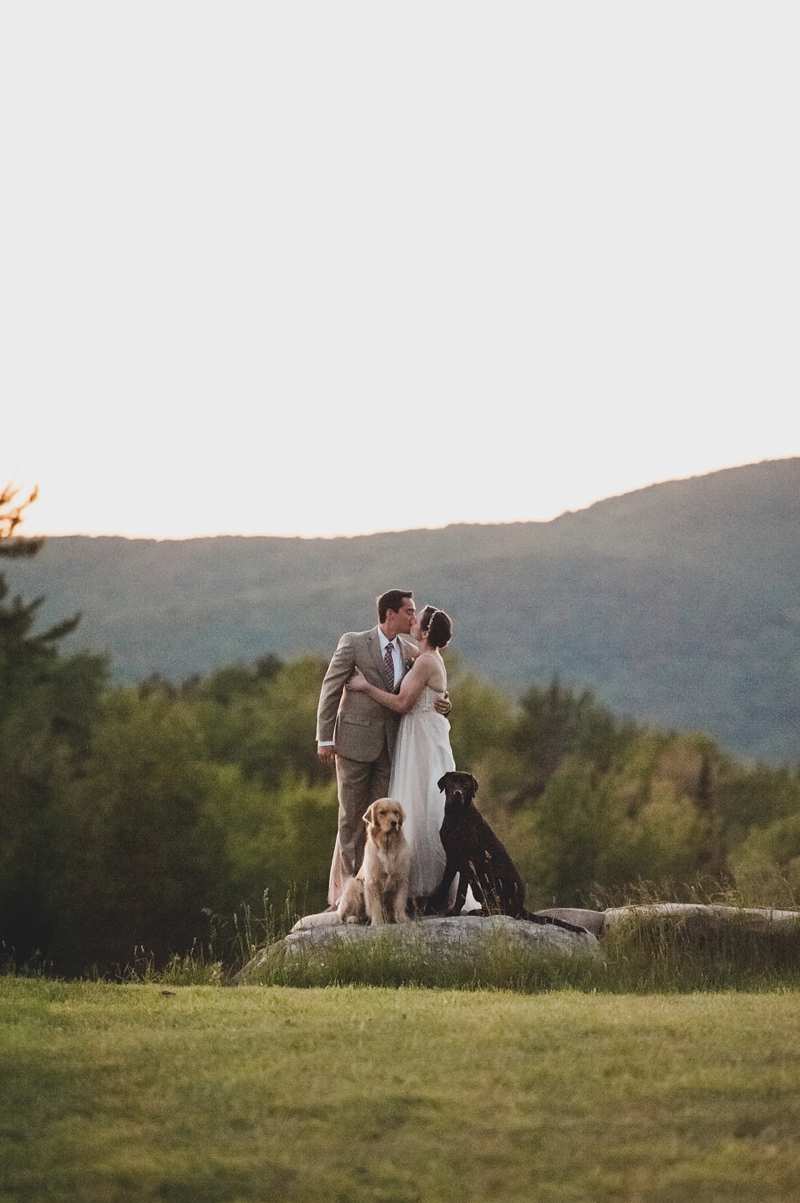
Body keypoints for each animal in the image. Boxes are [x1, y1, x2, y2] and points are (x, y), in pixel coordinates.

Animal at [423, 774, 587, 933]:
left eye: (466, 784)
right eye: (451, 782)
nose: (458, 793)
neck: (457, 817)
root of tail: (521, 906)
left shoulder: (466, 863)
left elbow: (461, 893)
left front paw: (453, 912)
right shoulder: (452, 860)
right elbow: (444, 886)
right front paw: (431, 908)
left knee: (503, 911)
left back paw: (477, 912)